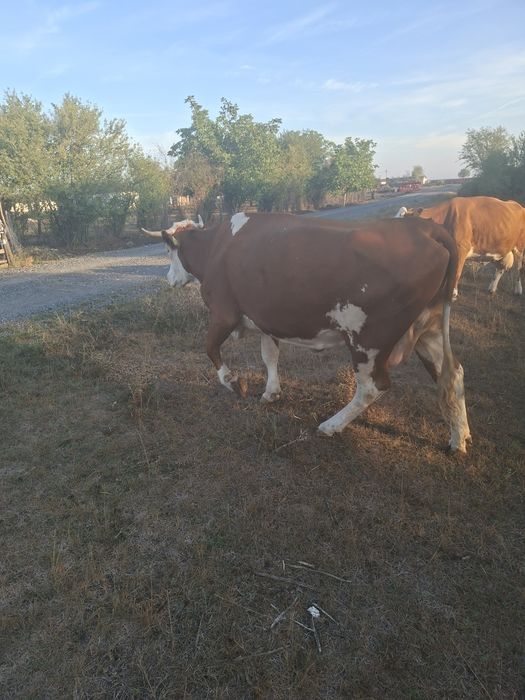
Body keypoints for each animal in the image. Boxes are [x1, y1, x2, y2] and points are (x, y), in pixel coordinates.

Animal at [145, 212, 471, 453]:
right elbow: (269, 356)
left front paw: (235, 383)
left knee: (372, 387)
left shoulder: (223, 314)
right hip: (428, 328)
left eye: (169, 251)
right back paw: (459, 438)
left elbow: (210, 348)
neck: (217, 247)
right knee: (452, 373)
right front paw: (271, 392)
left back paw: (331, 426)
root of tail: (425, 228)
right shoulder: (266, 317)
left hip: (368, 339)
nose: (169, 279)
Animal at [395, 196, 525, 298]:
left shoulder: (460, 248)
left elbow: (456, 273)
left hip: (520, 247)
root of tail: (517, 204)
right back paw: (492, 288)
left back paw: (518, 290)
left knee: (519, 268)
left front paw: (452, 294)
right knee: (500, 268)